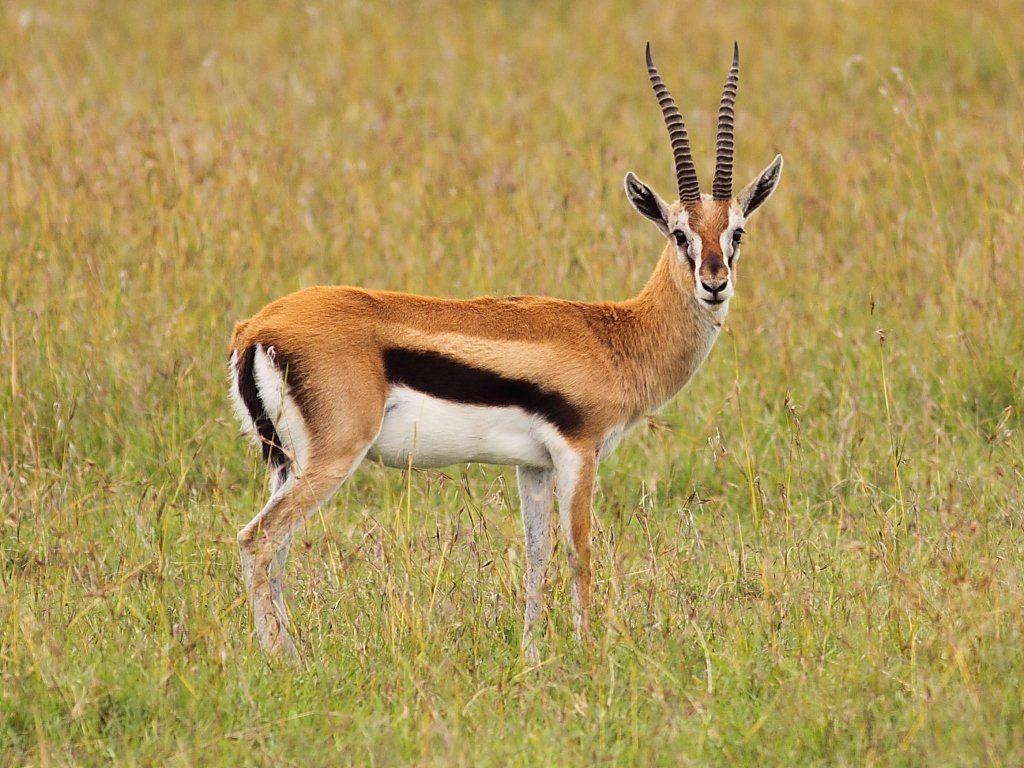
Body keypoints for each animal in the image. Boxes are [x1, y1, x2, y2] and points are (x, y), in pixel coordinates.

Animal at [229, 42, 783, 661]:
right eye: (678, 233)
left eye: (736, 232)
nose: (715, 283)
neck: (616, 336)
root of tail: (257, 327)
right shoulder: (579, 452)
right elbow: (580, 553)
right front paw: (587, 653)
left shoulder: (532, 466)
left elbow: (536, 557)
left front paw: (531, 655)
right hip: (331, 458)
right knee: (259, 540)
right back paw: (284, 661)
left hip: (284, 462)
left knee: (275, 547)